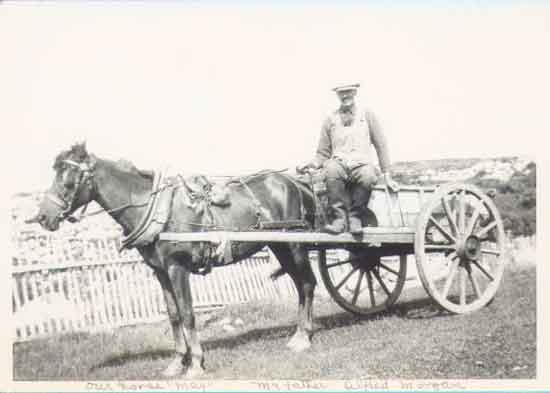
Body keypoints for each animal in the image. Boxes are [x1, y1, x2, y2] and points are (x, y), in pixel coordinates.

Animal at [32, 142, 320, 378]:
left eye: (69, 181)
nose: (43, 217)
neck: (156, 212)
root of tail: (293, 181)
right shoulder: (160, 271)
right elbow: (172, 315)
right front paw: (176, 362)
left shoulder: (177, 267)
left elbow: (187, 313)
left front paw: (196, 364)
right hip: (279, 246)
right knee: (300, 285)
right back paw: (300, 332)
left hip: (294, 245)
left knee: (307, 283)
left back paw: (303, 338)